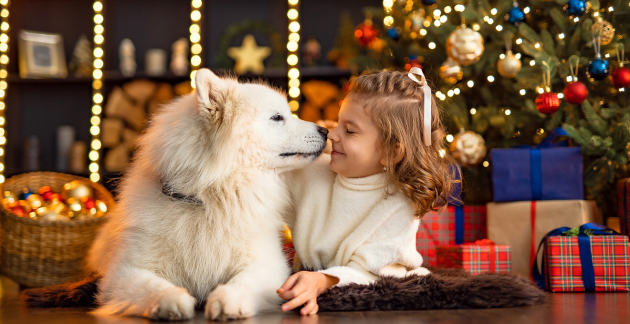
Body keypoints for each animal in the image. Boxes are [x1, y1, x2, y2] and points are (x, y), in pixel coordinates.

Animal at [86, 69, 328, 322]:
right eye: (277, 117)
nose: (325, 131)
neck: (208, 199)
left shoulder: (268, 264)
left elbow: (243, 282)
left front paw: (227, 301)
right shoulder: (122, 273)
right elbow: (151, 286)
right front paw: (172, 301)